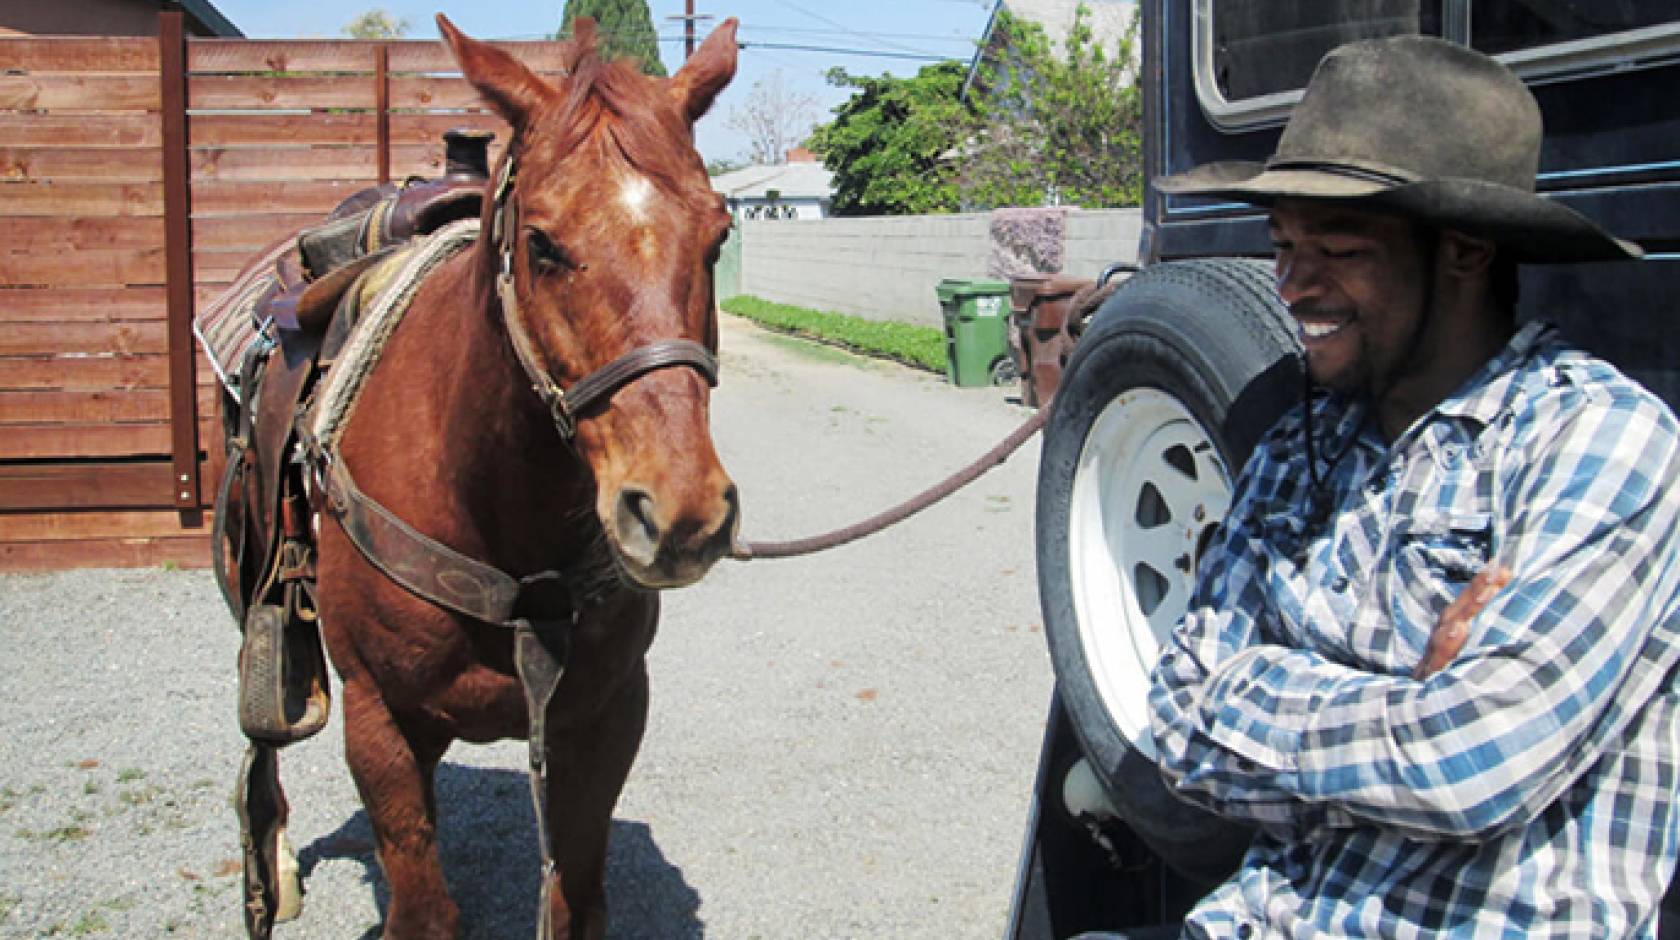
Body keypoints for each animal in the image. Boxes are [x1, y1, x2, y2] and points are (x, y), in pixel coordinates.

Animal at [277, 16, 735, 940]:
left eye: (720, 236)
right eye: (543, 245)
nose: (680, 515)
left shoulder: (605, 716)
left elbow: (574, 897)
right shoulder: (376, 720)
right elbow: (422, 904)